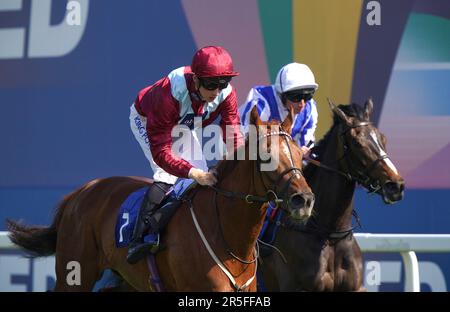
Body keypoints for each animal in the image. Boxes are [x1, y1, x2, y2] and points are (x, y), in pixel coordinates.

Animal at [8, 106, 314, 292]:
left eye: (300, 153)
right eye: (266, 156)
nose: (304, 199)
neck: (229, 237)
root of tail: (79, 193)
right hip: (75, 273)